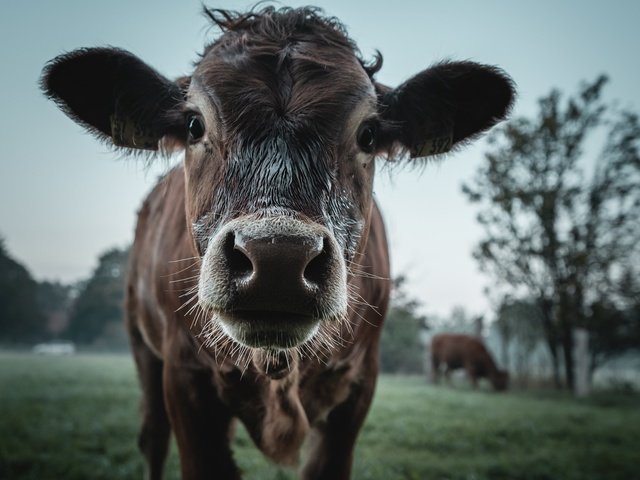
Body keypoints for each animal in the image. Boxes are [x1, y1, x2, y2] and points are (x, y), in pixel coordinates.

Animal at [41, 4, 516, 480]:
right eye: (194, 125)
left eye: (367, 134)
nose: (277, 257)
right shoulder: (183, 377)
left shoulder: (358, 389)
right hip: (141, 344)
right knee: (152, 438)